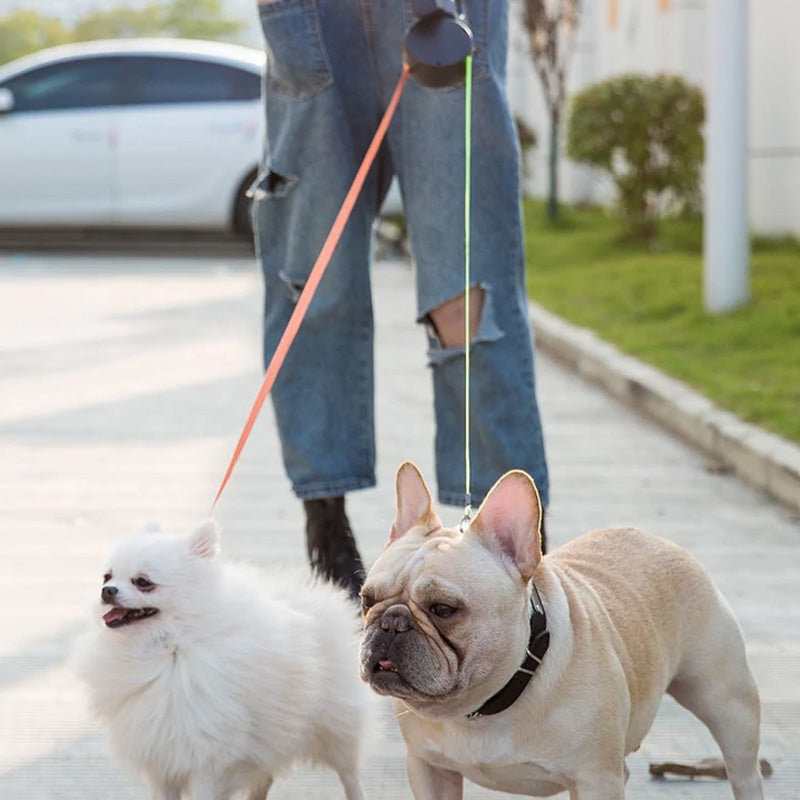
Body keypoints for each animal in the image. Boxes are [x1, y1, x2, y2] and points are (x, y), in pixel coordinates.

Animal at [73, 520, 368, 800]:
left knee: (350, 773)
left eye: (143, 582)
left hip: (336, 726)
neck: (168, 646)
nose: (107, 590)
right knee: (265, 774)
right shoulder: (160, 758)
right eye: (107, 576)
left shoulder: (207, 758)